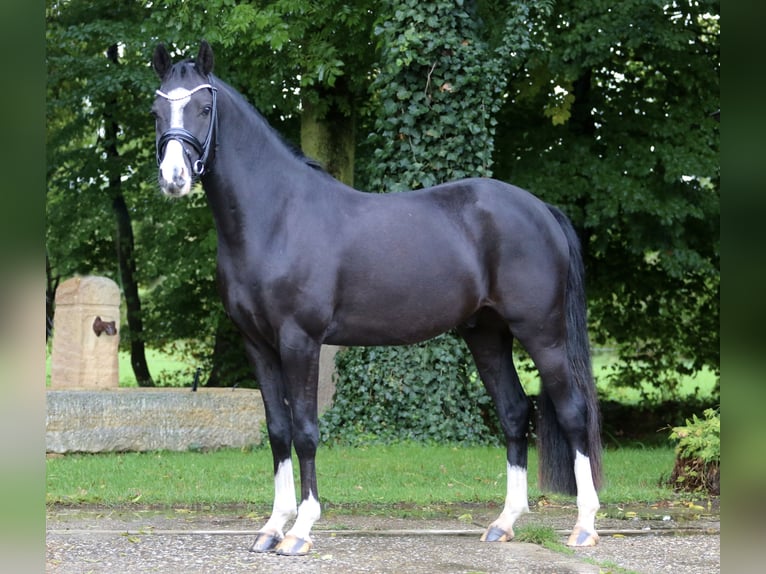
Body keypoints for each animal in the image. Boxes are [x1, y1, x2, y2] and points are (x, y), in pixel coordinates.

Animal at [151, 41, 602, 556]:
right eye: (157, 111)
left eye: (204, 109)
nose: (173, 178)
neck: (277, 217)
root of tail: (540, 209)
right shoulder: (257, 344)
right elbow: (278, 430)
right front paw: (272, 526)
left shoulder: (300, 341)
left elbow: (305, 431)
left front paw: (301, 529)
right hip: (486, 335)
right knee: (513, 412)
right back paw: (503, 522)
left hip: (543, 335)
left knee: (573, 413)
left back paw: (584, 525)